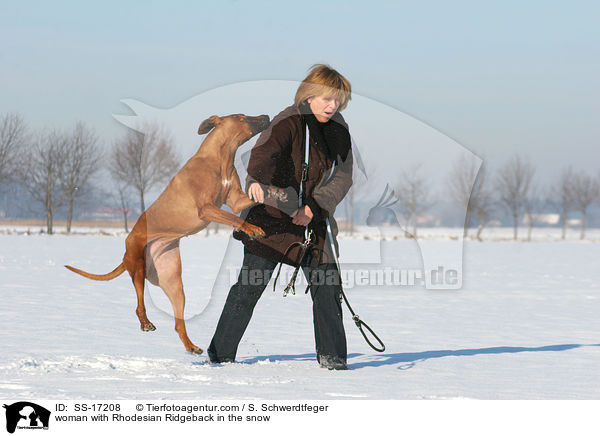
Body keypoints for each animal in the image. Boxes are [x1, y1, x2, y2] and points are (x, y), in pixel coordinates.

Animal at [65, 113, 270, 354]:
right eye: (242, 117)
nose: (266, 116)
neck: (220, 157)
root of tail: (125, 253)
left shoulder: (236, 200)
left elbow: (254, 197)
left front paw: (278, 193)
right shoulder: (207, 208)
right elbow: (235, 218)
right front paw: (253, 228)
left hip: (173, 281)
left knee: (177, 323)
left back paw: (191, 346)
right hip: (138, 265)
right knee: (139, 304)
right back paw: (146, 323)